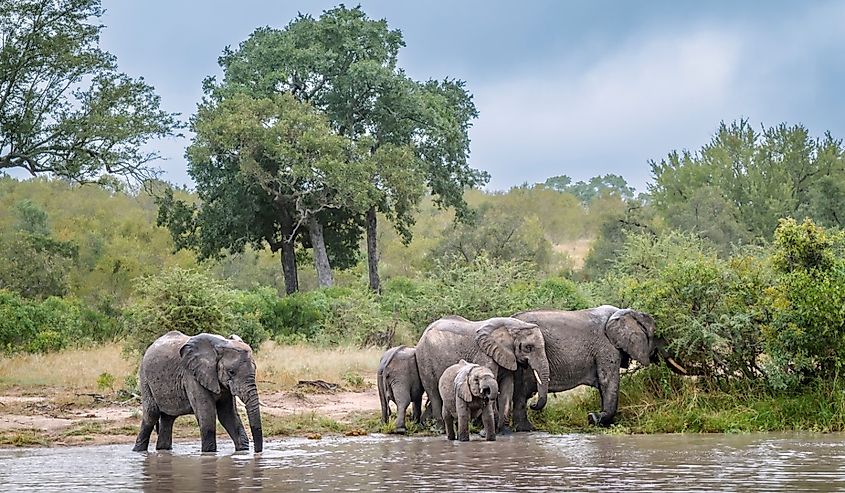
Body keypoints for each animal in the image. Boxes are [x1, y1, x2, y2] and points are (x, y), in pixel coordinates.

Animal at [132, 331, 263, 453]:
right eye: (231, 372)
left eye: (255, 369)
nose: (257, 452)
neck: (222, 344)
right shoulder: (191, 375)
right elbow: (207, 415)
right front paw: (209, 453)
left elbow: (227, 414)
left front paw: (243, 451)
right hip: (145, 378)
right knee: (151, 414)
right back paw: (138, 451)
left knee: (168, 418)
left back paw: (163, 450)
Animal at [414, 315, 550, 432]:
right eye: (528, 347)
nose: (533, 404)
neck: (514, 326)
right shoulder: (484, 355)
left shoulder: (506, 355)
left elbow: (507, 387)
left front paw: (505, 431)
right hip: (424, 360)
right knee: (434, 393)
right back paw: (441, 430)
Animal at [511, 306, 687, 429]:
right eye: (658, 335)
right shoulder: (606, 347)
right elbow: (608, 381)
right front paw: (594, 418)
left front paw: (602, 421)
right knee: (521, 394)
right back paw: (527, 429)